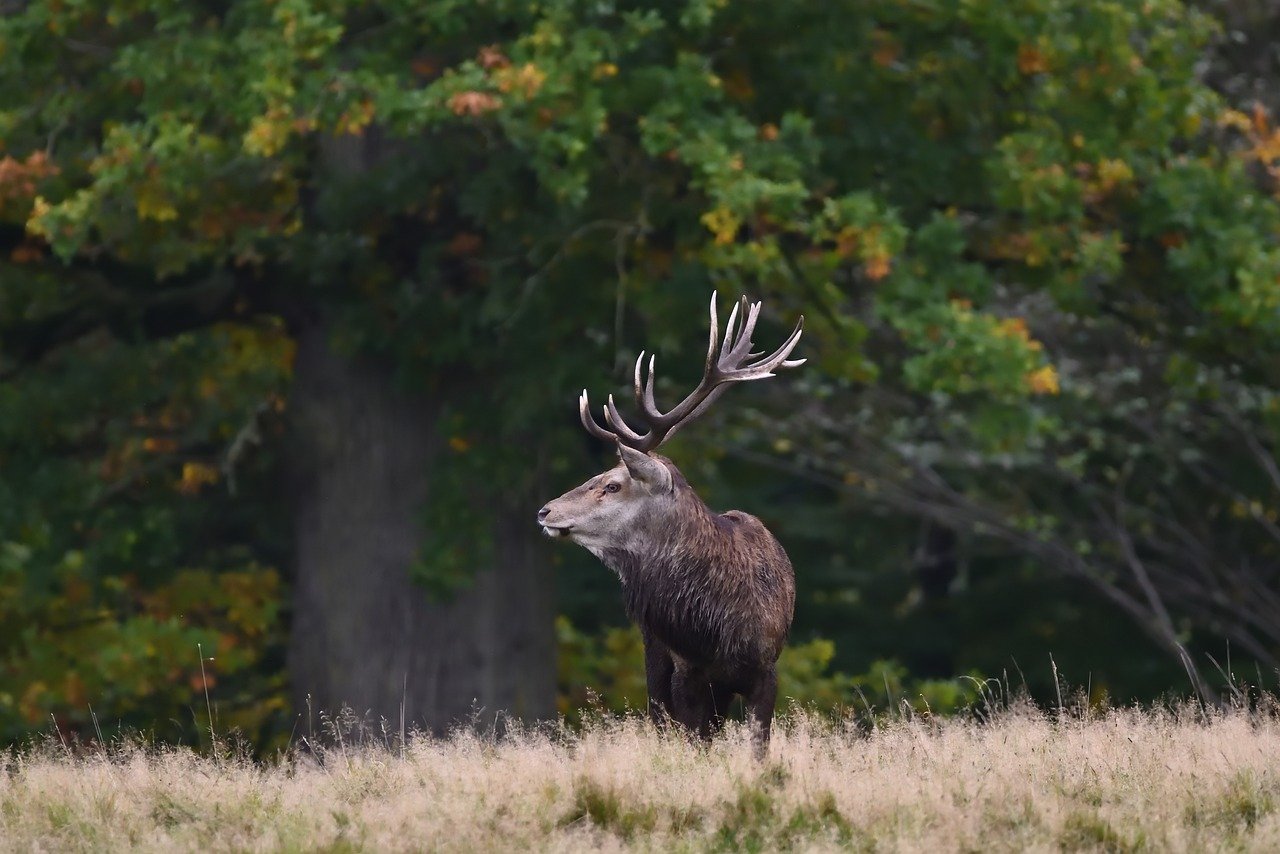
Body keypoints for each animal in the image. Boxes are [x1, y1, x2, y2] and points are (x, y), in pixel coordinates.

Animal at [537, 292, 803, 754]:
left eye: (612, 484)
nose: (545, 511)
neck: (718, 627)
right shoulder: (685, 671)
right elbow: (691, 743)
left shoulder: (765, 669)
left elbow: (758, 748)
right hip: (655, 658)